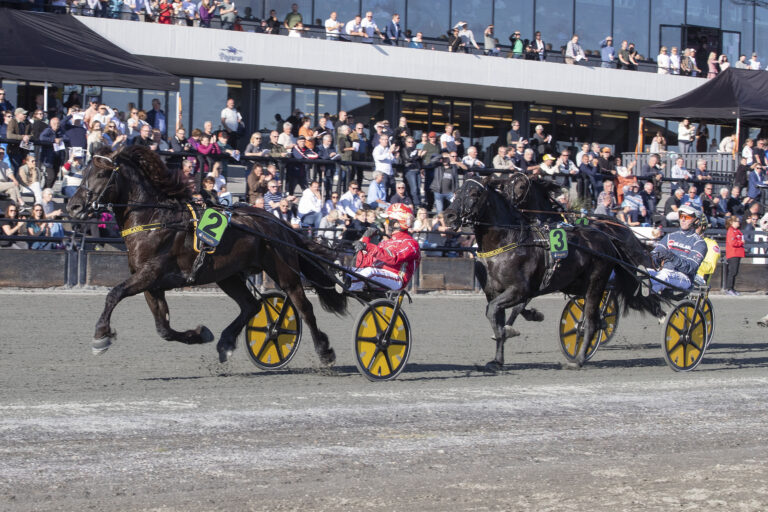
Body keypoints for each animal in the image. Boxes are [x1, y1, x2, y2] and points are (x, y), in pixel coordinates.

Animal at [67, 146, 346, 366]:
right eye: (84, 173)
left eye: (101, 174)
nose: (73, 206)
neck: (154, 219)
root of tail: (277, 221)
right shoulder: (152, 285)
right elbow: (163, 329)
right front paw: (200, 334)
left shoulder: (150, 274)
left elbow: (114, 294)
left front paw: (101, 336)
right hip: (228, 275)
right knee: (251, 305)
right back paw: (226, 343)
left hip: (283, 270)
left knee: (304, 308)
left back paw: (325, 351)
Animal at [440, 176, 664, 368]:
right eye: (457, 191)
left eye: (474, 193)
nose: (449, 215)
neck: (508, 242)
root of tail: (606, 237)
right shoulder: (494, 292)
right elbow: (497, 315)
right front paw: (497, 358)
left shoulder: (521, 289)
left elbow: (500, 310)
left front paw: (511, 329)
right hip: (579, 284)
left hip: (596, 283)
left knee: (592, 320)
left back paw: (579, 359)